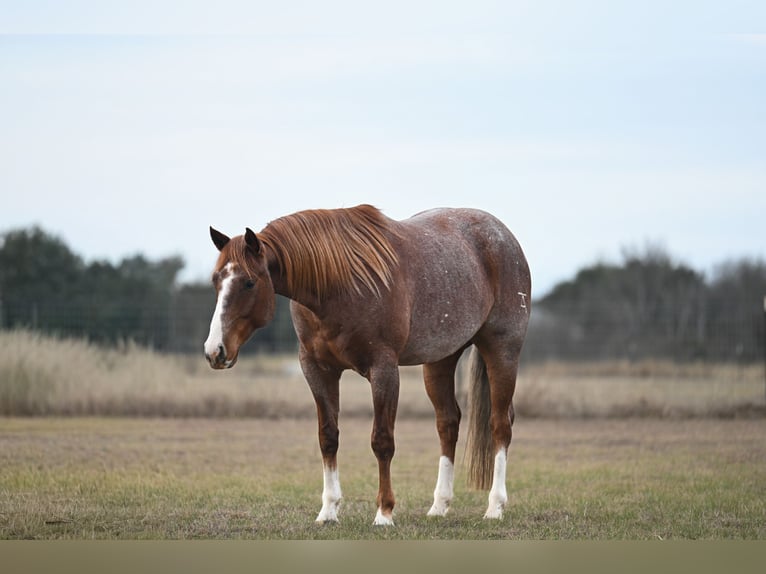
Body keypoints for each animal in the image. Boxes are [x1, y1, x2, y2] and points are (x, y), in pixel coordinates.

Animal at [203, 205, 530, 525]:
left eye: (248, 282)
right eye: (216, 280)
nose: (214, 351)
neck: (337, 285)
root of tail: (505, 237)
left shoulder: (383, 369)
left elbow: (382, 441)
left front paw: (384, 512)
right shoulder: (317, 370)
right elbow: (328, 437)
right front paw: (328, 510)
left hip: (502, 350)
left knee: (500, 424)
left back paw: (495, 507)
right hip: (440, 360)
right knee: (448, 423)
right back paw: (439, 505)